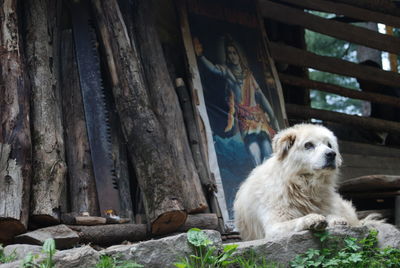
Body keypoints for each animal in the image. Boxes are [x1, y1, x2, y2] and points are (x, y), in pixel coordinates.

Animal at [234, 123, 362, 241]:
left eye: (329, 145)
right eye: (308, 145)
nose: (331, 154)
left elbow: (332, 215)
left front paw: (336, 220)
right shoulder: (274, 227)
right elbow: (295, 221)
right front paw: (312, 218)